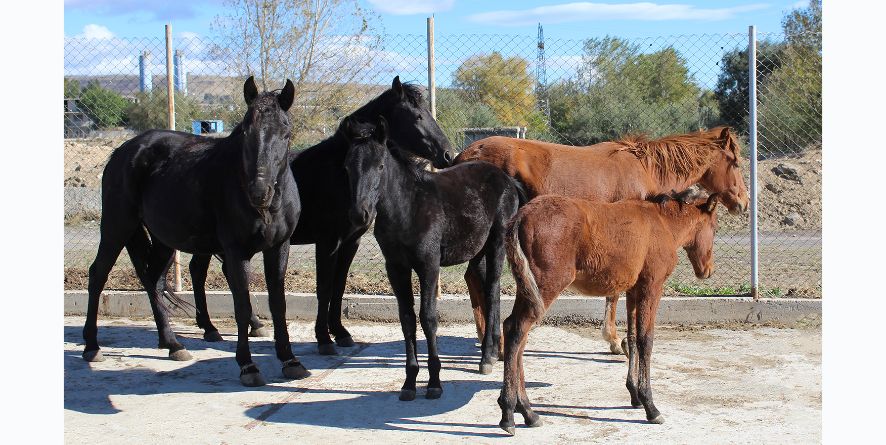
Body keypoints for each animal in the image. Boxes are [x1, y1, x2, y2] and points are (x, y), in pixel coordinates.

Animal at [86, 76, 308, 386]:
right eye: (245, 132)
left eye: (285, 133)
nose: (258, 192)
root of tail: (123, 151)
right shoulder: (235, 251)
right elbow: (242, 307)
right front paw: (248, 365)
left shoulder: (279, 247)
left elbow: (278, 304)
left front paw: (290, 359)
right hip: (117, 226)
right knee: (98, 274)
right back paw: (92, 346)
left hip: (164, 239)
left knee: (153, 280)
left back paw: (171, 343)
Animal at [189, 76, 458, 354]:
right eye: (417, 115)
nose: (448, 154)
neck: (336, 172)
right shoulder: (327, 242)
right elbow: (325, 288)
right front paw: (324, 338)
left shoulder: (351, 242)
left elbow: (339, 286)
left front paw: (340, 332)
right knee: (199, 271)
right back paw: (210, 328)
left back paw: (249, 324)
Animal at [344, 114, 524, 398]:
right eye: (347, 167)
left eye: (381, 166)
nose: (359, 215)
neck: (408, 207)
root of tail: (507, 179)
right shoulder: (396, 267)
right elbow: (407, 318)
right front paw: (409, 383)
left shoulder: (428, 265)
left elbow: (428, 318)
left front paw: (434, 383)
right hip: (477, 250)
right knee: (486, 287)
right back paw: (493, 351)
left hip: (497, 242)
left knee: (493, 289)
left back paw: (486, 357)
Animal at [450, 126, 748, 356]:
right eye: (735, 162)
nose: (743, 203)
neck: (643, 169)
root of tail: (464, 155)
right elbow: (614, 293)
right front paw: (616, 340)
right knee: (481, 277)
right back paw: (494, 345)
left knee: (472, 276)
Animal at [500, 192, 720, 434]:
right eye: (715, 228)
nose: (708, 270)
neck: (662, 223)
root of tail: (522, 215)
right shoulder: (652, 287)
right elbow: (646, 340)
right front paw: (650, 406)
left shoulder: (633, 290)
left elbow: (632, 337)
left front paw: (634, 395)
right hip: (546, 286)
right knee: (517, 331)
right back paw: (509, 413)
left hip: (528, 290)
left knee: (514, 331)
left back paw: (527, 412)